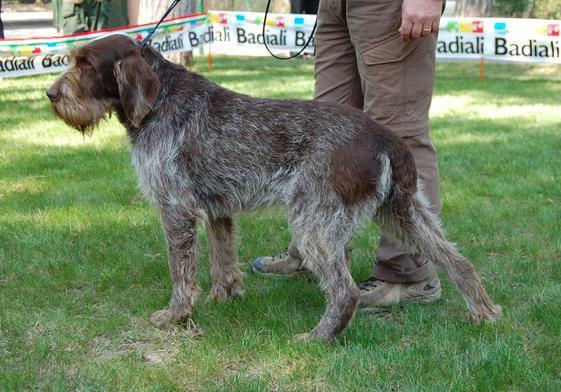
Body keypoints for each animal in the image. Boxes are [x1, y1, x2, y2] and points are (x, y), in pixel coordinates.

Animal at [44, 34, 498, 340]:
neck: (160, 99)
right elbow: (222, 259)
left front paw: (176, 316)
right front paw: (225, 298)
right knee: (457, 261)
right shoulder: (217, 209)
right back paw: (483, 313)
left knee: (344, 290)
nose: (50, 93)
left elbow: (181, 272)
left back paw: (318, 338)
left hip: (314, 221)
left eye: (87, 64)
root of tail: (386, 138)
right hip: (404, 213)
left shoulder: (176, 209)